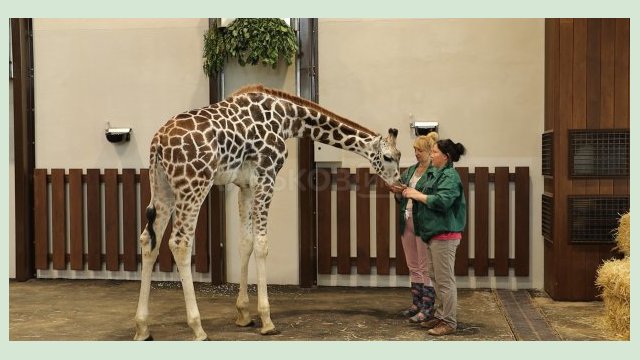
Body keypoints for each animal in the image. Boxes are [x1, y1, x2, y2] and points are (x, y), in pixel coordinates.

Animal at [134, 84, 402, 340]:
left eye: (399, 156)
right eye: (389, 157)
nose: (399, 184)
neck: (288, 118)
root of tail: (157, 142)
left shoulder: (244, 185)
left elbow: (245, 243)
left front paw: (243, 314)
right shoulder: (267, 175)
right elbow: (262, 244)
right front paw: (266, 319)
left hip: (163, 187)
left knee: (148, 240)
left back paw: (142, 327)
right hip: (194, 184)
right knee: (180, 243)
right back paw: (198, 329)